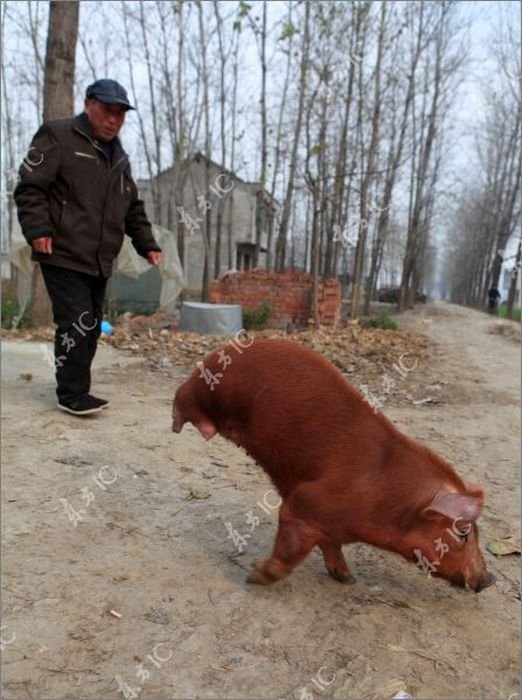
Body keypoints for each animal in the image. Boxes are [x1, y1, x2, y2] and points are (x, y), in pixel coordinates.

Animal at [173, 340, 494, 592]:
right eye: (463, 532)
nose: (489, 579)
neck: (389, 502)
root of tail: (230, 345)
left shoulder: (329, 527)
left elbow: (330, 546)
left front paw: (346, 578)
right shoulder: (303, 504)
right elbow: (289, 549)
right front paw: (254, 576)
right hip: (203, 389)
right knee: (181, 398)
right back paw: (185, 427)